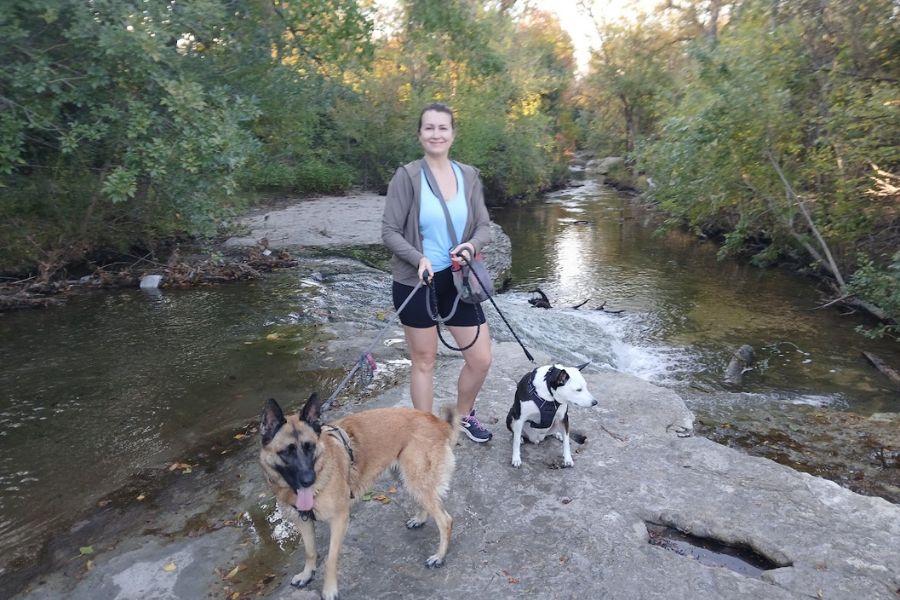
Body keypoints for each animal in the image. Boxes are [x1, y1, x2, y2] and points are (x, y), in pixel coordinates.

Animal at [258, 394, 458, 600]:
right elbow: (310, 552)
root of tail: (439, 422)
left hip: (414, 478)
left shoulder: (339, 519)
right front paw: (307, 574)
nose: (308, 480)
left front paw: (329, 590)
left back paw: (439, 557)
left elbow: (330, 559)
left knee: (445, 520)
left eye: (310, 447)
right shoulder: (302, 521)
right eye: (286, 451)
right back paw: (420, 519)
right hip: (406, 478)